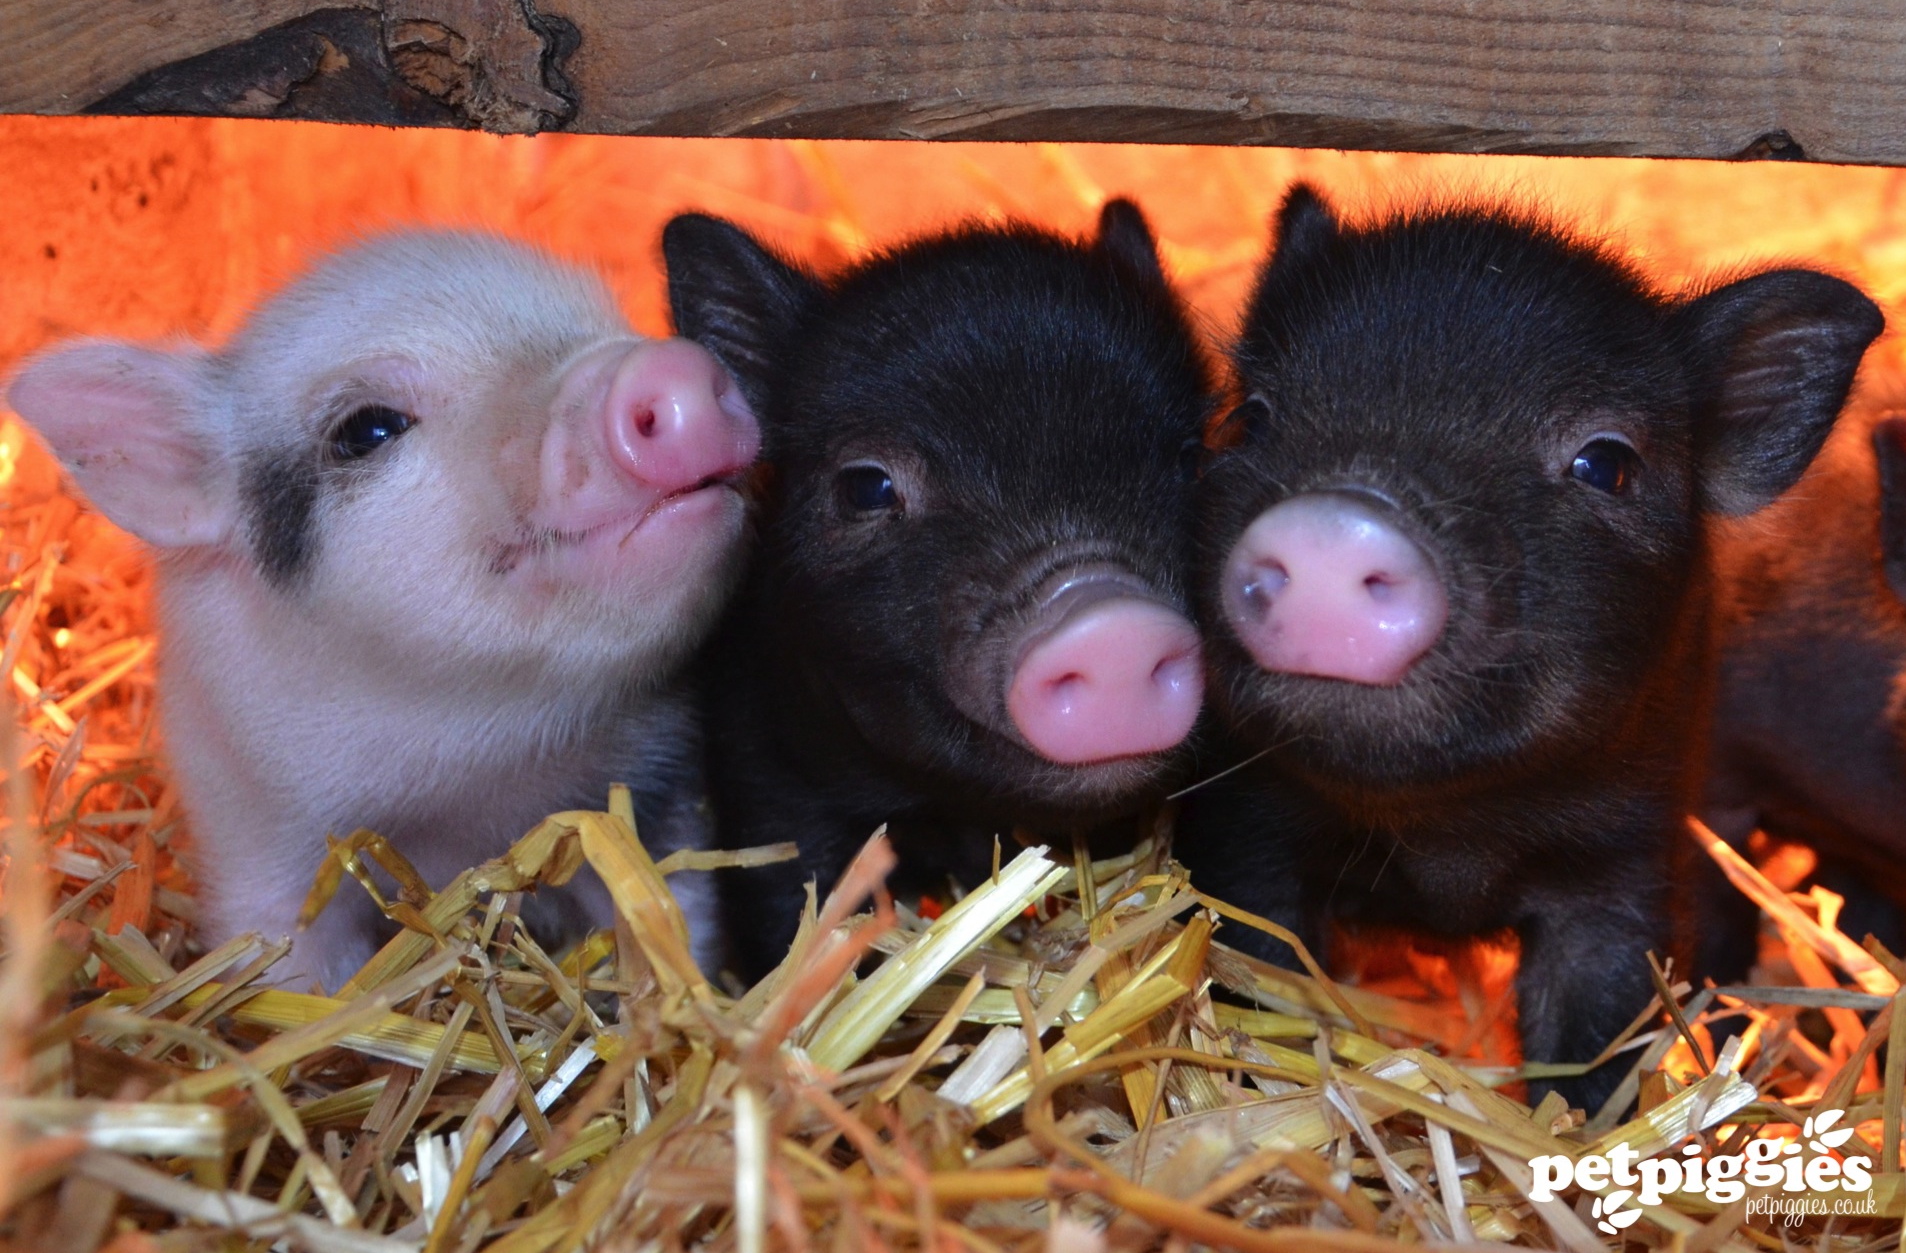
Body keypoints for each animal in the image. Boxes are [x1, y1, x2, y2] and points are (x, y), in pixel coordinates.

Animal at [6, 232, 760, 991]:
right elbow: (290, 963)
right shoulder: (254, 830)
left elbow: (673, 916)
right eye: (367, 428)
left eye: (608, 323)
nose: (671, 365)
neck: (471, 775)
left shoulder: (663, 791)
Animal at [1176, 185, 1882, 1110]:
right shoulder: (1248, 834)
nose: (1335, 520)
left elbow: (1595, 1032)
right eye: (1254, 416)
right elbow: (1258, 970)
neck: (1447, 845)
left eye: (1606, 463)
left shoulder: (1628, 859)